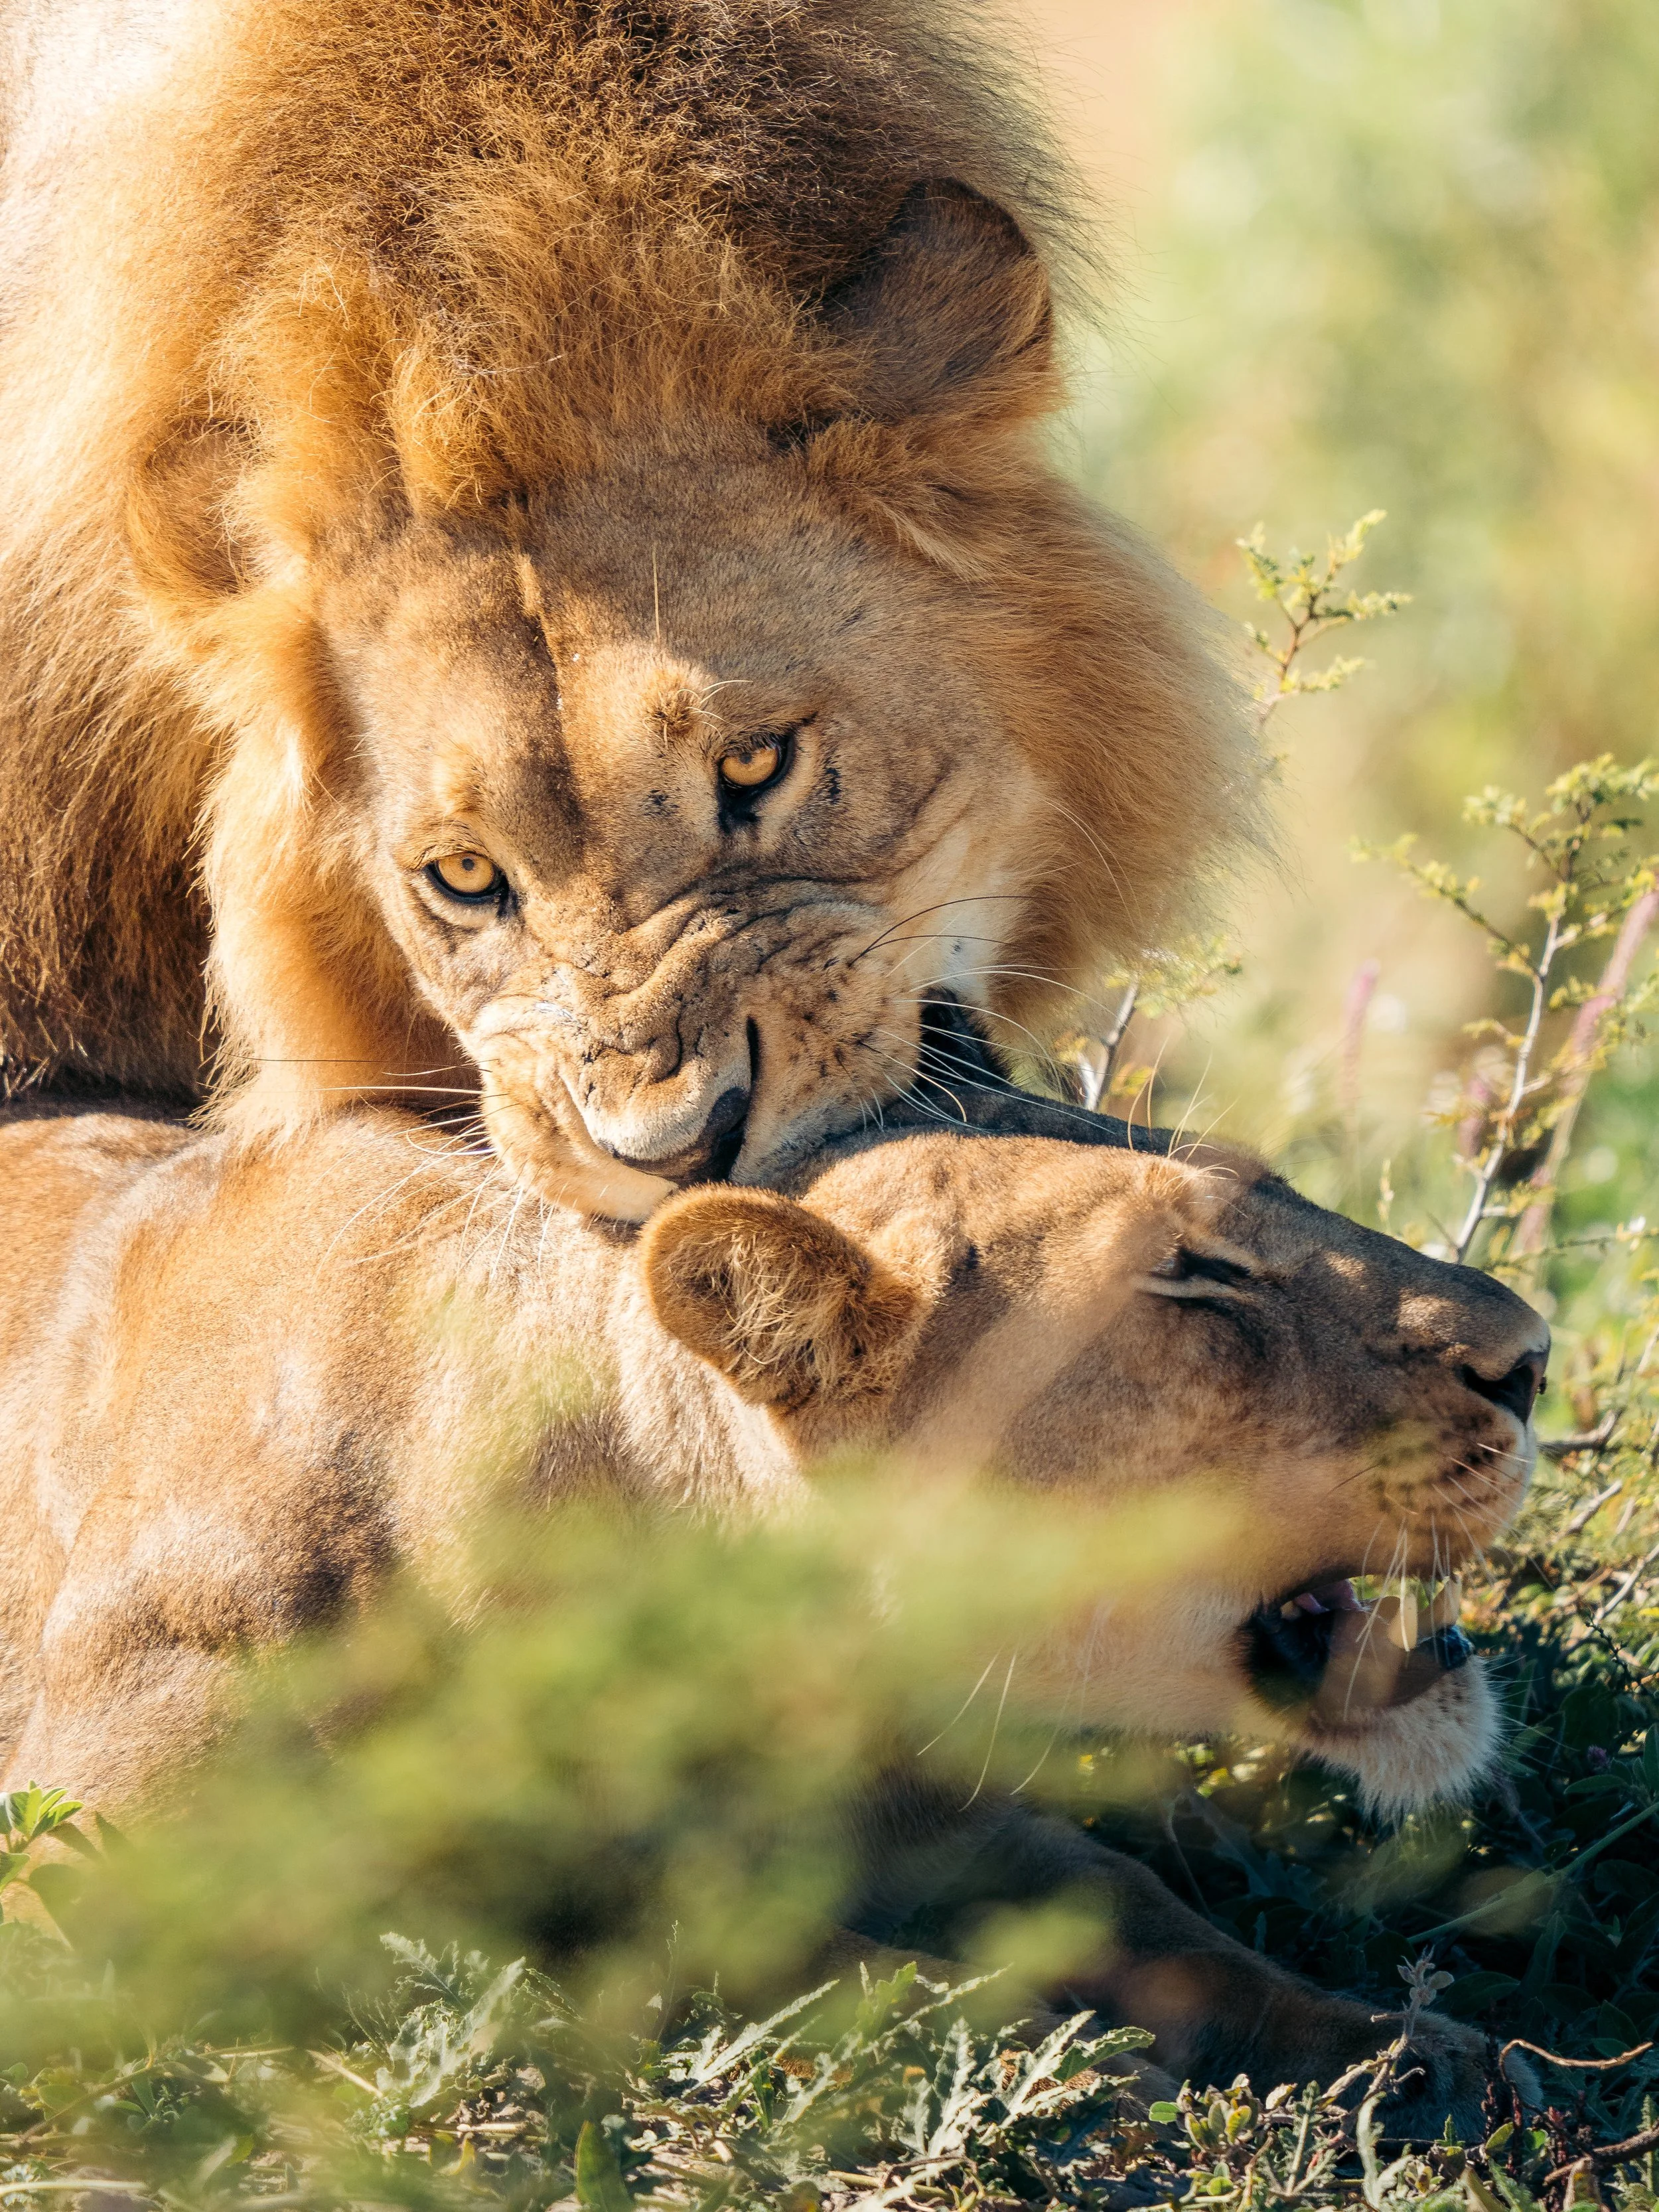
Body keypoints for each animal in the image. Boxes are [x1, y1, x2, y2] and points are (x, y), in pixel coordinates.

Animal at [0, 1086, 1546, 2129]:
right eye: (1196, 1275)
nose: (1532, 1355)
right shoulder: (98, 1880)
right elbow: (720, 1945)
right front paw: (1073, 2046)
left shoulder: (922, 1807)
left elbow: (1141, 1904)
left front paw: (1408, 2050)